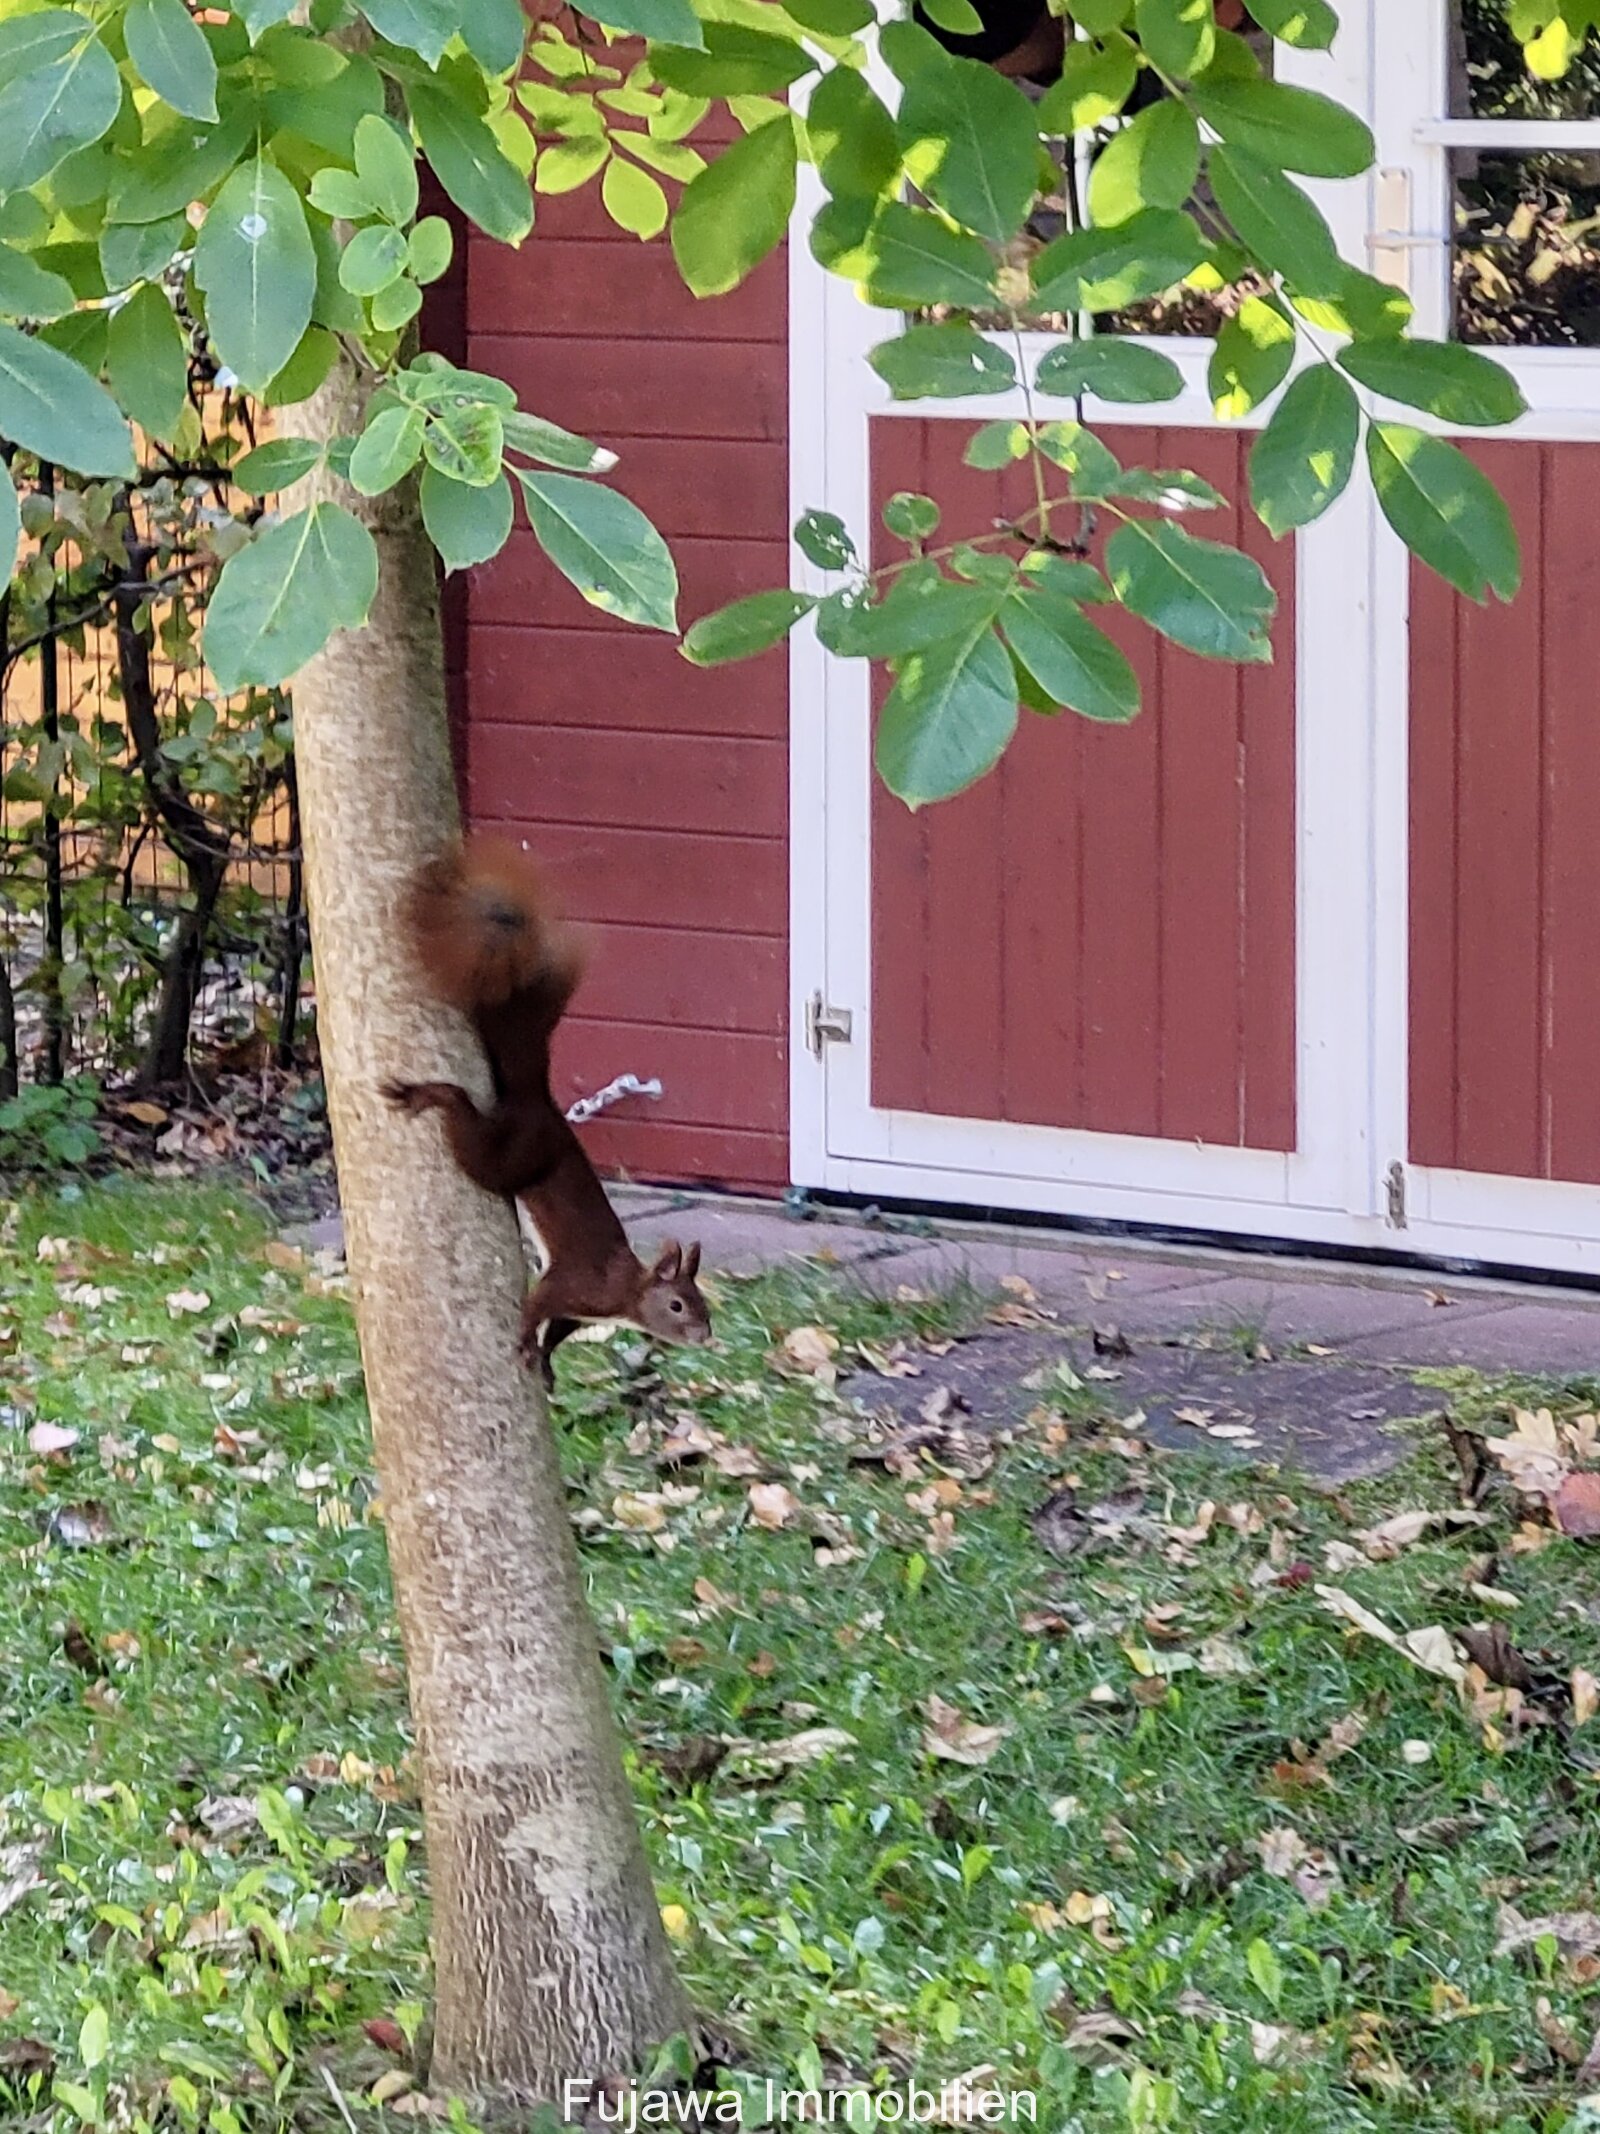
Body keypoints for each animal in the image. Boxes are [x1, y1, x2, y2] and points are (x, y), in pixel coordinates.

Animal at [379, 840, 712, 1391]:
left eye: (704, 1302)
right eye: (678, 1305)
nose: (706, 1336)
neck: (625, 1293)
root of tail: (537, 1101)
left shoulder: (578, 1312)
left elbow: (559, 1329)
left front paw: (550, 1363)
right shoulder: (572, 1284)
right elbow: (538, 1306)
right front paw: (523, 1341)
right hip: (511, 1153)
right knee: (476, 1151)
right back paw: (433, 1096)